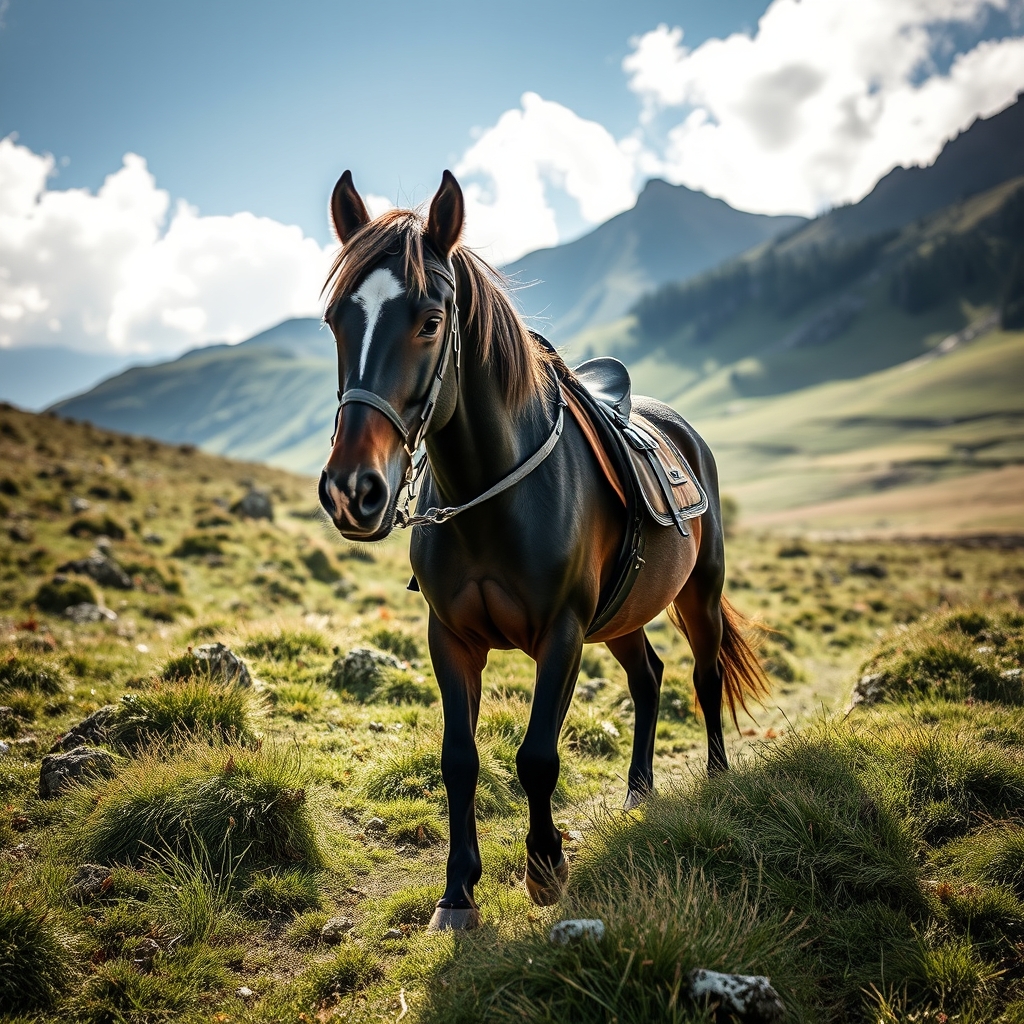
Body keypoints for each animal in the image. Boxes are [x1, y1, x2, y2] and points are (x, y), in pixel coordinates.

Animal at [318, 169, 769, 931]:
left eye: (430, 320)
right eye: (334, 322)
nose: (354, 489)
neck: (491, 497)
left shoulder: (561, 632)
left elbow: (536, 757)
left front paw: (546, 866)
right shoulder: (451, 638)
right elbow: (459, 759)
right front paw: (458, 893)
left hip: (697, 594)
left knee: (705, 678)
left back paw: (714, 777)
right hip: (621, 616)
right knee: (648, 676)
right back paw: (639, 791)